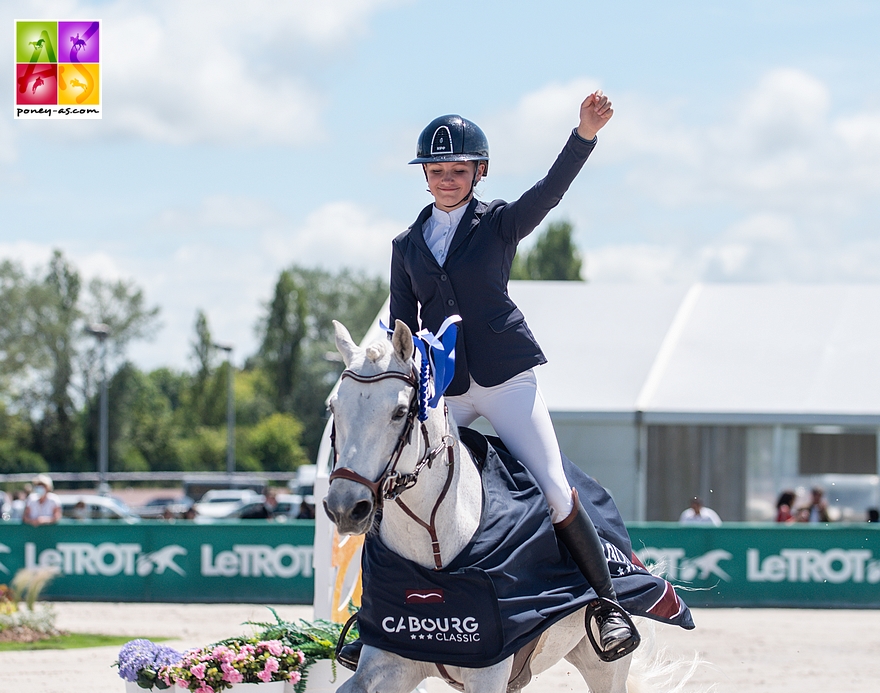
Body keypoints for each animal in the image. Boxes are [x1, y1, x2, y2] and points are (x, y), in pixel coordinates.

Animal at [324, 320, 672, 692]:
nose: (345, 507)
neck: (431, 539)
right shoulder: (388, 661)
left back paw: (612, 624)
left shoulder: (488, 671)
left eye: (400, 412)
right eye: (333, 408)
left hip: (603, 665)